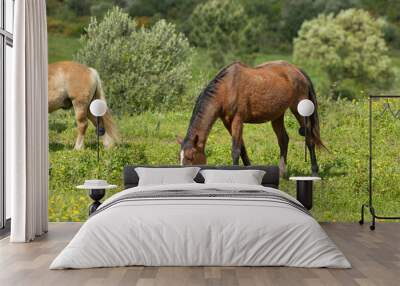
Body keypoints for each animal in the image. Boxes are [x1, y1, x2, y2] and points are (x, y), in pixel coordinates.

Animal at [177, 61, 324, 177]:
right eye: (180, 158)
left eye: (191, 157)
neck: (227, 88)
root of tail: (298, 71)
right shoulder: (227, 122)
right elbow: (242, 148)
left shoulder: (238, 120)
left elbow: (236, 150)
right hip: (277, 115)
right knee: (283, 140)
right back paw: (282, 173)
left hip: (299, 109)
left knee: (309, 139)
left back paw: (314, 172)